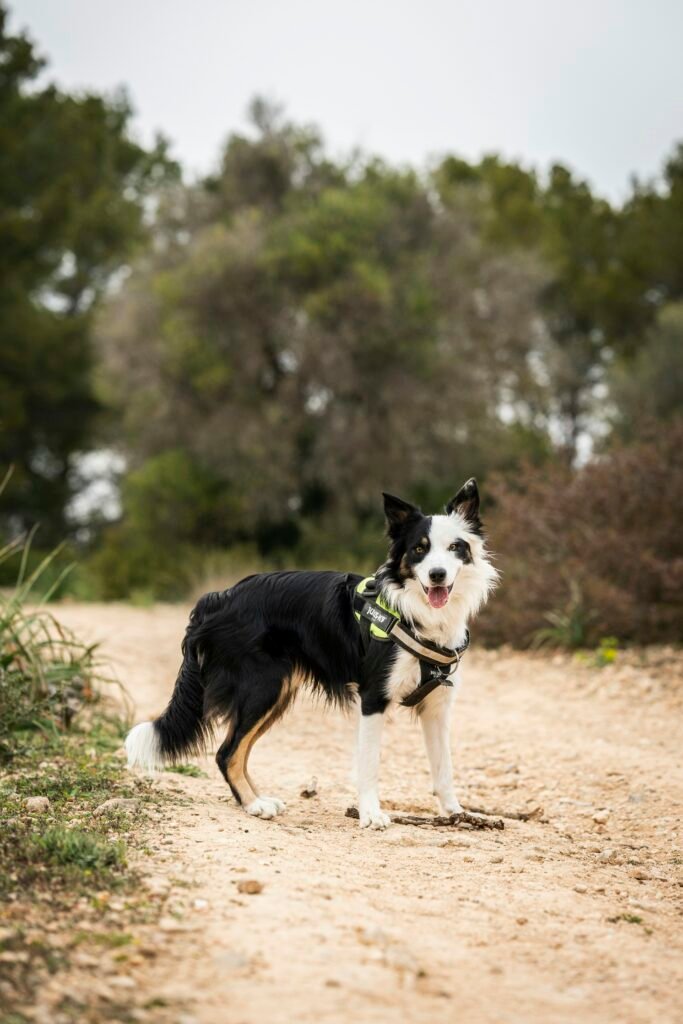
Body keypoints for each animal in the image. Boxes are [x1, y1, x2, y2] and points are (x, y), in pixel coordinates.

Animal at [124, 483, 497, 827]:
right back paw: (254, 805)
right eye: (419, 549)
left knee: (237, 751)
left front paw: (457, 813)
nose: (437, 575)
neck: (418, 615)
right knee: (226, 752)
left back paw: (258, 799)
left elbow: (443, 768)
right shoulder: (373, 697)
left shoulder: (436, 708)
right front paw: (371, 814)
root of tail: (217, 597)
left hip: (276, 693)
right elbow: (370, 764)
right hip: (263, 687)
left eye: (455, 548)